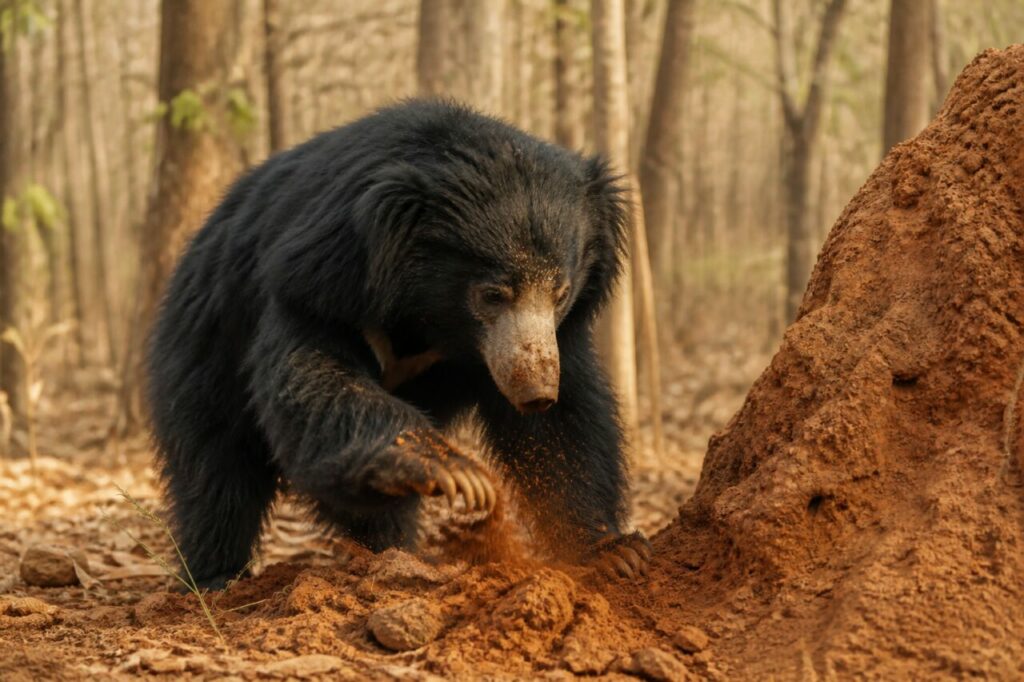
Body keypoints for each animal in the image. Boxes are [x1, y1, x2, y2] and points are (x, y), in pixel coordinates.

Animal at [147, 99, 651, 589]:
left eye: (560, 293)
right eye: (492, 295)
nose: (536, 393)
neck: (433, 317)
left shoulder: (546, 341)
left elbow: (559, 436)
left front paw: (611, 552)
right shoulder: (320, 284)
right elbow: (316, 380)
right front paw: (454, 472)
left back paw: (387, 551)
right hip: (202, 346)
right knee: (216, 467)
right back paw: (215, 576)